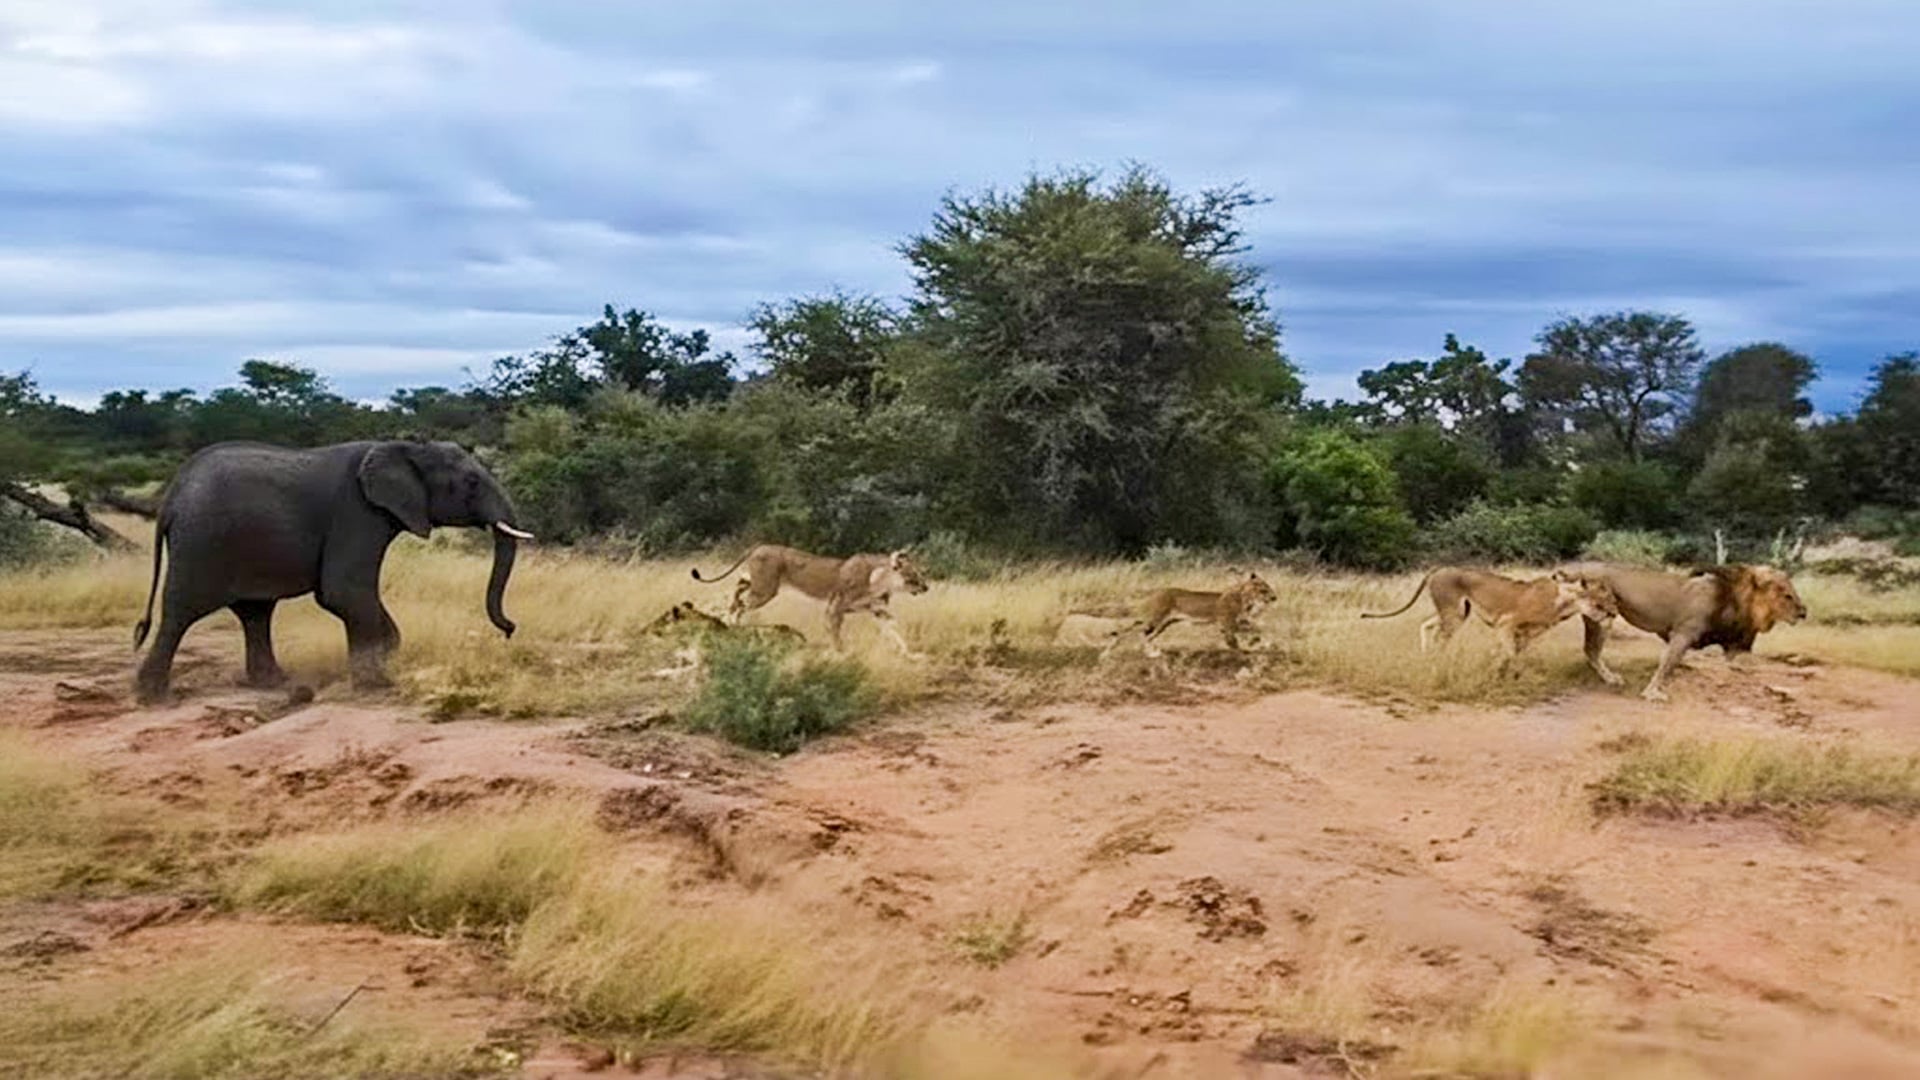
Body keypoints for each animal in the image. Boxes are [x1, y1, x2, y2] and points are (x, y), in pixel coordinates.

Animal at [132, 439, 531, 703]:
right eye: (472, 483)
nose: (510, 630)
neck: (404, 447)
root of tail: (171, 496)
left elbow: (345, 595)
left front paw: (386, 658)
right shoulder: (357, 512)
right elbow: (343, 591)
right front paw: (379, 686)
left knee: (255, 612)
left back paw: (275, 683)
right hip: (203, 543)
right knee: (181, 613)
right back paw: (152, 698)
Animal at [691, 545, 930, 655]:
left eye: (919, 573)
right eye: (913, 575)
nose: (926, 587)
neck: (882, 580)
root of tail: (758, 546)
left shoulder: (877, 610)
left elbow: (894, 630)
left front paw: (908, 653)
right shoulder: (836, 606)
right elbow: (835, 631)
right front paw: (841, 652)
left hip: (758, 585)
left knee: (738, 589)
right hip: (765, 591)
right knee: (740, 604)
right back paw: (731, 623)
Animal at [1103, 571, 1279, 658]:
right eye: (1264, 589)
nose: (1274, 597)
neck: (1246, 599)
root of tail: (1156, 591)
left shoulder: (1238, 623)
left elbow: (1257, 629)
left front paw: (1264, 643)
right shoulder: (1228, 624)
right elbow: (1237, 640)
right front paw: (1243, 652)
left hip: (1162, 624)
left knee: (1144, 634)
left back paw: (1151, 653)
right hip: (1154, 620)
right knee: (1130, 631)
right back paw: (1109, 651)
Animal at [1360, 567, 1621, 670]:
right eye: (1603, 595)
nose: (1614, 610)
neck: (1566, 600)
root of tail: (1440, 568)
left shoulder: (1526, 634)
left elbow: (1513, 653)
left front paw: (1501, 670)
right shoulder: (1506, 624)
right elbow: (1509, 653)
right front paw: (1500, 670)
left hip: (1456, 613)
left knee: (1425, 625)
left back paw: (1426, 657)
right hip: (1453, 615)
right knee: (1440, 637)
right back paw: (1438, 662)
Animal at [1561, 562, 1807, 702]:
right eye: (1786, 594)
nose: (1803, 612)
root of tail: (1578, 567)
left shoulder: (1734, 646)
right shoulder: (1683, 634)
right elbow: (1667, 665)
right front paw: (1652, 693)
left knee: (1590, 650)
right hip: (1601, 617)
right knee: (1591, 650)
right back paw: (1612, 678)